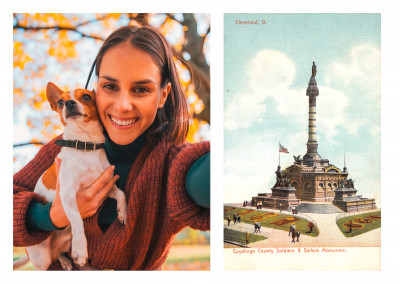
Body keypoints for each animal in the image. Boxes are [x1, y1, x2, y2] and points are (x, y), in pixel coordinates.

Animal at [14, 82, 126, 270]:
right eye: (60, 102)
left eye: (87, 97)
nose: (69, 103)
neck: (85, 145)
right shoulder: (67, 195)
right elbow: (77, 220)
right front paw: (81, 250)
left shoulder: (105, 185)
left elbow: (121, 193)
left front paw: (122, 212)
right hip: (41, 258)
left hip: (64, 241)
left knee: (59, 252)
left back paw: (66, 260)